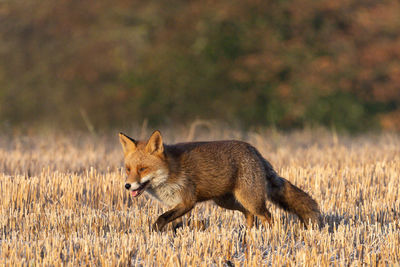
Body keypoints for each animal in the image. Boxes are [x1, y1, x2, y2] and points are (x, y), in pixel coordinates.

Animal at [119, 131, 322, 231]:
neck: (169, 172)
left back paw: (270, 237)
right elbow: (172, 222)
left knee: (267, 216)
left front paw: (153, 232)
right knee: (249, 215)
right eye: (128, 169)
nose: (127, 185)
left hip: (250, 199)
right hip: (226, 201)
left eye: (143, 169)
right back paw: (249, 236)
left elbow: (161, 219)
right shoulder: (175, 204)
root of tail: (253, 149)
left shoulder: (187, 201)